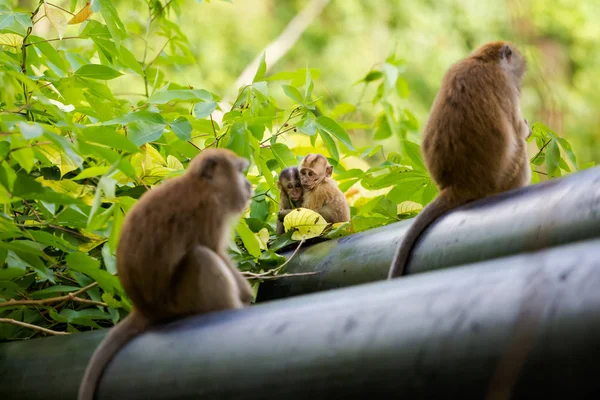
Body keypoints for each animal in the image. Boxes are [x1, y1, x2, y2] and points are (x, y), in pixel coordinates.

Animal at [78, 148, 253, 400]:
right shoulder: (210, 209)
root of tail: (144, 310)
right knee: (201, 257)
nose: (249, 185)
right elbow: (214, 249)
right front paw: (247, 293)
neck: (200, 184)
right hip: (179, 302)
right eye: (239, 171)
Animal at [392, 40, 532, 278]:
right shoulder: (505, 84)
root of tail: (458, 186)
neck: (482, 60)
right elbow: (519, 130)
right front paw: (526, 127)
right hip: (505, 177)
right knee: (519, 146)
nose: (523, 73)